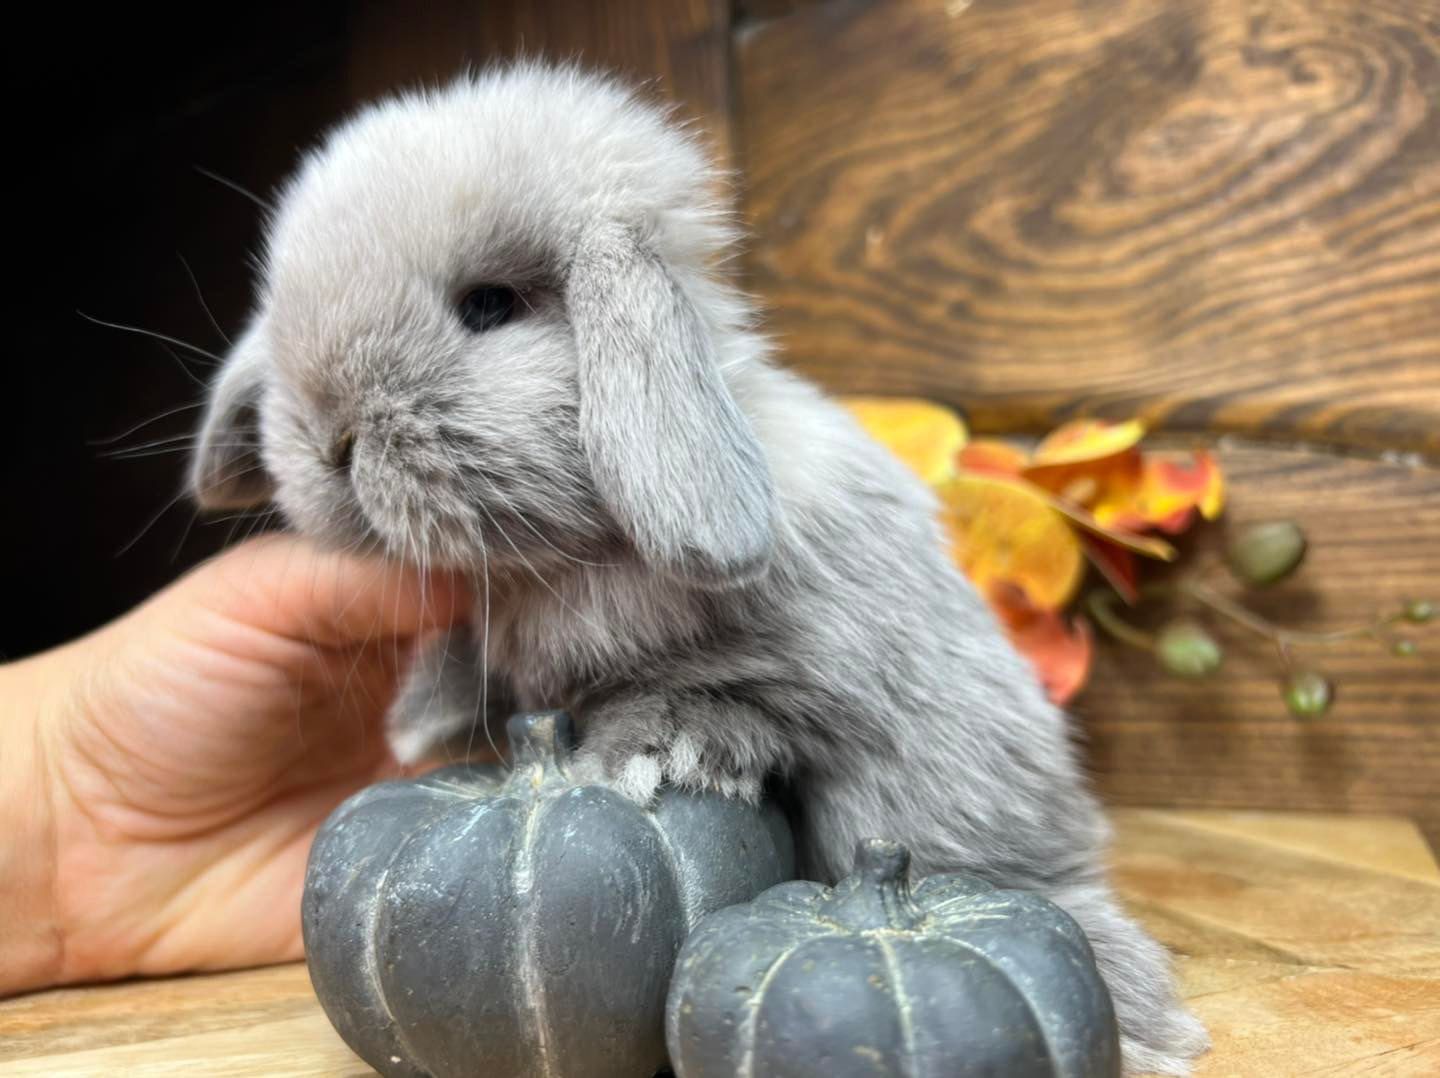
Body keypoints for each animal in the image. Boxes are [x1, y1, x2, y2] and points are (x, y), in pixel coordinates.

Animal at [191, 62, 1203, 1070]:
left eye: (489, 306)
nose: (329, 441)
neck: (573, 559)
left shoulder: (810, 674)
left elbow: (724, 695)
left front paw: (648, 752)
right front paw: (428, 721)